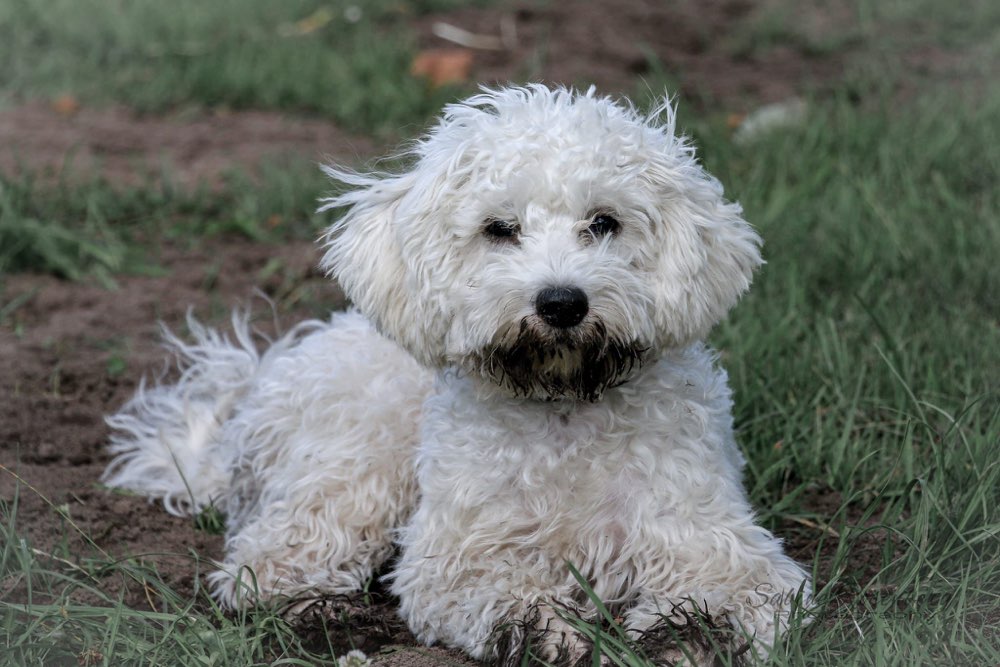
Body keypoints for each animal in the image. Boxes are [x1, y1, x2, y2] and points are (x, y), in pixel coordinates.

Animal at [101, 86, 808, 664]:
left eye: (604, 222)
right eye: (500, 228)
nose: (562, 303)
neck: (563, 404)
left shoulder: (713, 541)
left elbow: (725, 596)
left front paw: (687, 637)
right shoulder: (456, 558)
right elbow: (503, 594)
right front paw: (543, 635)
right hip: (356, 464)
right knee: (269, 560)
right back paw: (324, 618)